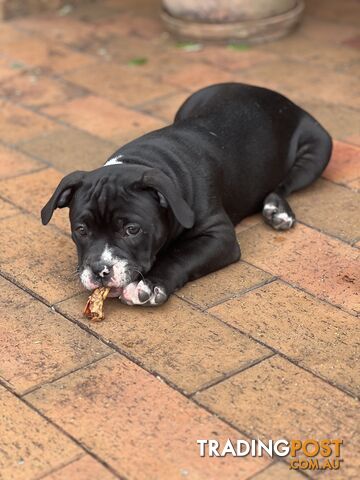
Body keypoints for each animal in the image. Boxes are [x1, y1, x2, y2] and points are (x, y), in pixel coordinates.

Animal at [41, 82, 332, 306]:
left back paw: (277, 210)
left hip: (318, 147)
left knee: (285, 183)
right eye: (81, 230)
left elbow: (182, 256)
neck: (146, 161)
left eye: (132, 230)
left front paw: (149, 285)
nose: (100, 271)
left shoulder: (220, 237)